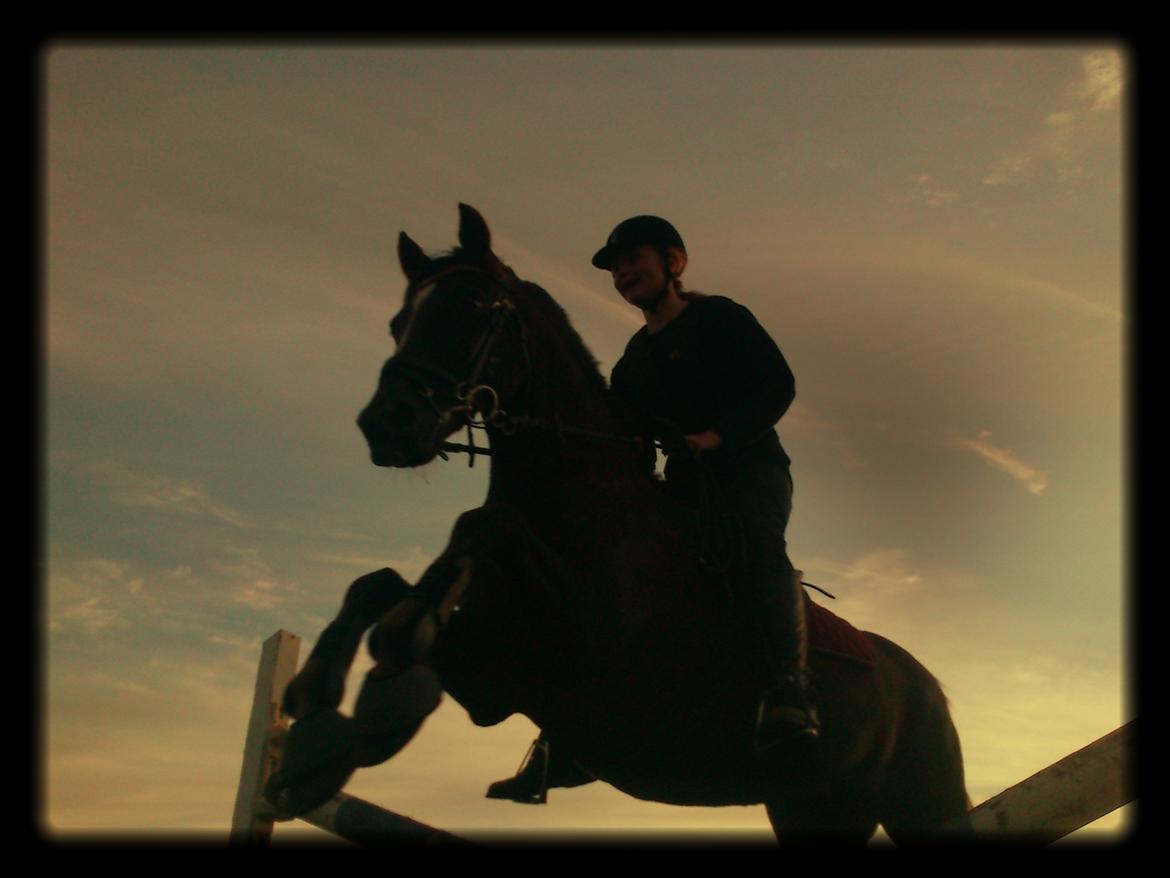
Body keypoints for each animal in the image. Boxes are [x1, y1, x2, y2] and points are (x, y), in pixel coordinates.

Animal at [269, 204, 973, 847]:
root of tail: (926, 685)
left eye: (471, 306)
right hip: (811, 808)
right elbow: (379, 582)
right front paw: (316, 707)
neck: (587, 502)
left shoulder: (594, 658)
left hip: (924, 806)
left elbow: (486, 523)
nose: (384, 425)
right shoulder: (497, 676)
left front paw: (392, 658)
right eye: (398, 323)